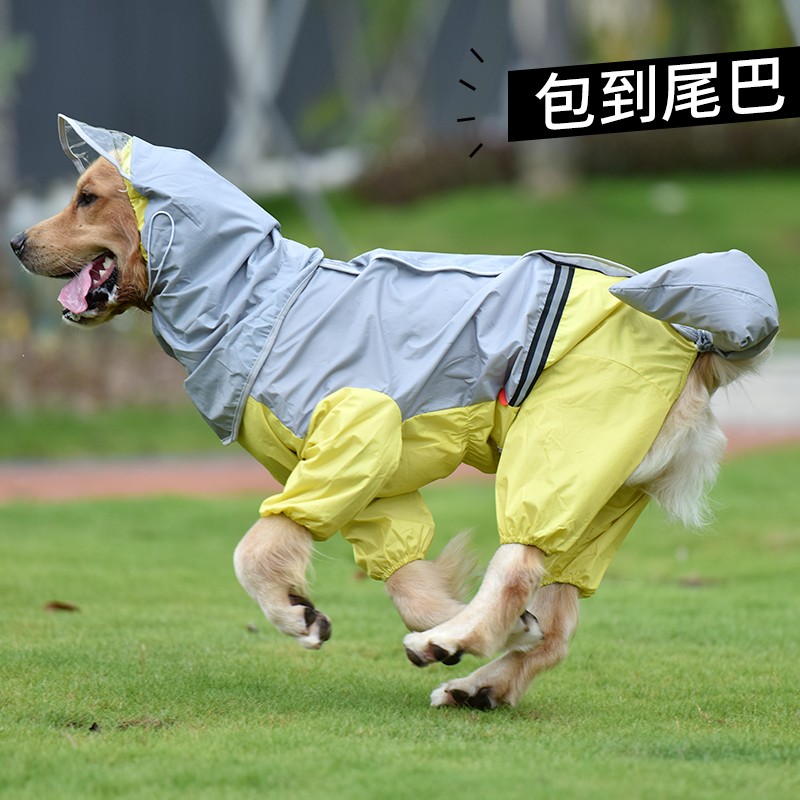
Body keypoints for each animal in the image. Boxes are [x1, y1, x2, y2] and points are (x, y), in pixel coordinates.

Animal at [14, 152, 776, 712]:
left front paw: (295, 614)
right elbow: (409, 579)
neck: (257, 298)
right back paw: (477, 683)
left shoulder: (353, 435)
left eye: (87, 198)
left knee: (518, 563)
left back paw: (457, 644)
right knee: (556, 626)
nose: (16, 242)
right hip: (603, 496)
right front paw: (452, 622)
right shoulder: (373, 490)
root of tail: (697, 344)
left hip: (560, 454)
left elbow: (256, 549)